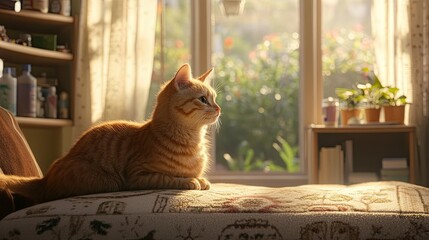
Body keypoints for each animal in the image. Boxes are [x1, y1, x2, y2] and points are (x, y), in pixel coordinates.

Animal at [0, 62, 221, 203]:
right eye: (203, 99)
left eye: (215, 98)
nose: (219, 109)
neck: (193, 140)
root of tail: (45, 178)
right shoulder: (138, 175)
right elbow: (169, 179)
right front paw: (191, 181)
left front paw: (202, 180)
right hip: (110, 181)